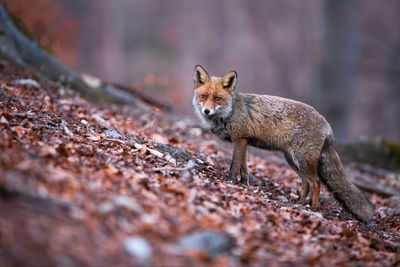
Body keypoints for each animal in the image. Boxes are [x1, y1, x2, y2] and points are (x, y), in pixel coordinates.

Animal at [194, 65, 376, 224]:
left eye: (217, 99)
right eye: (203, 97)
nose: (206, 111)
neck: (229, 112)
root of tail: (327, 124)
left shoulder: (240, 139)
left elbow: (234, 165)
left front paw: (230, 182)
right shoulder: (244, 142)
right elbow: (244, 169)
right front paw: (244, 185)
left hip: (302, 160)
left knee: (316, 182)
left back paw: (312, 206)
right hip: (293, 161)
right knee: (306, 183)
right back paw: (300, 202)